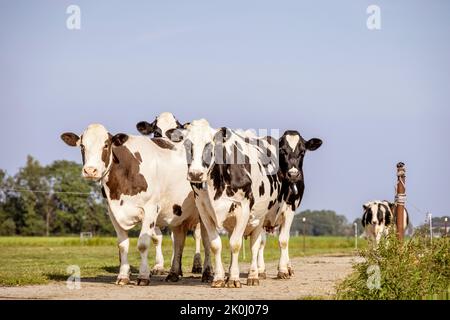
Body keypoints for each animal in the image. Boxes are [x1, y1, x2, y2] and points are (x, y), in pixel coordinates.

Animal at [60, 123, 213, 284]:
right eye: (82, 146)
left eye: (106, 145)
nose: (90, 170)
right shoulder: (113, 212)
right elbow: (122, 245)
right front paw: (123, 276)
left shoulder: (151, 209)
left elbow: (143, 244)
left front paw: (143, 276)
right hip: (178, 212)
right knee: (178, 240)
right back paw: (173, 273)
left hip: (203, 211)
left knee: (206, 240)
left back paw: (207, 273)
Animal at [262, 129, 322, 278]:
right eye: (282, 150)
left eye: (303, 152)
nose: (293, 174)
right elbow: (261, 241)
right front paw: (260, 270)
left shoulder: (290, 209)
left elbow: (284, 240)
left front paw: (283, 269)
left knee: (285, 237)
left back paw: (288, 267)